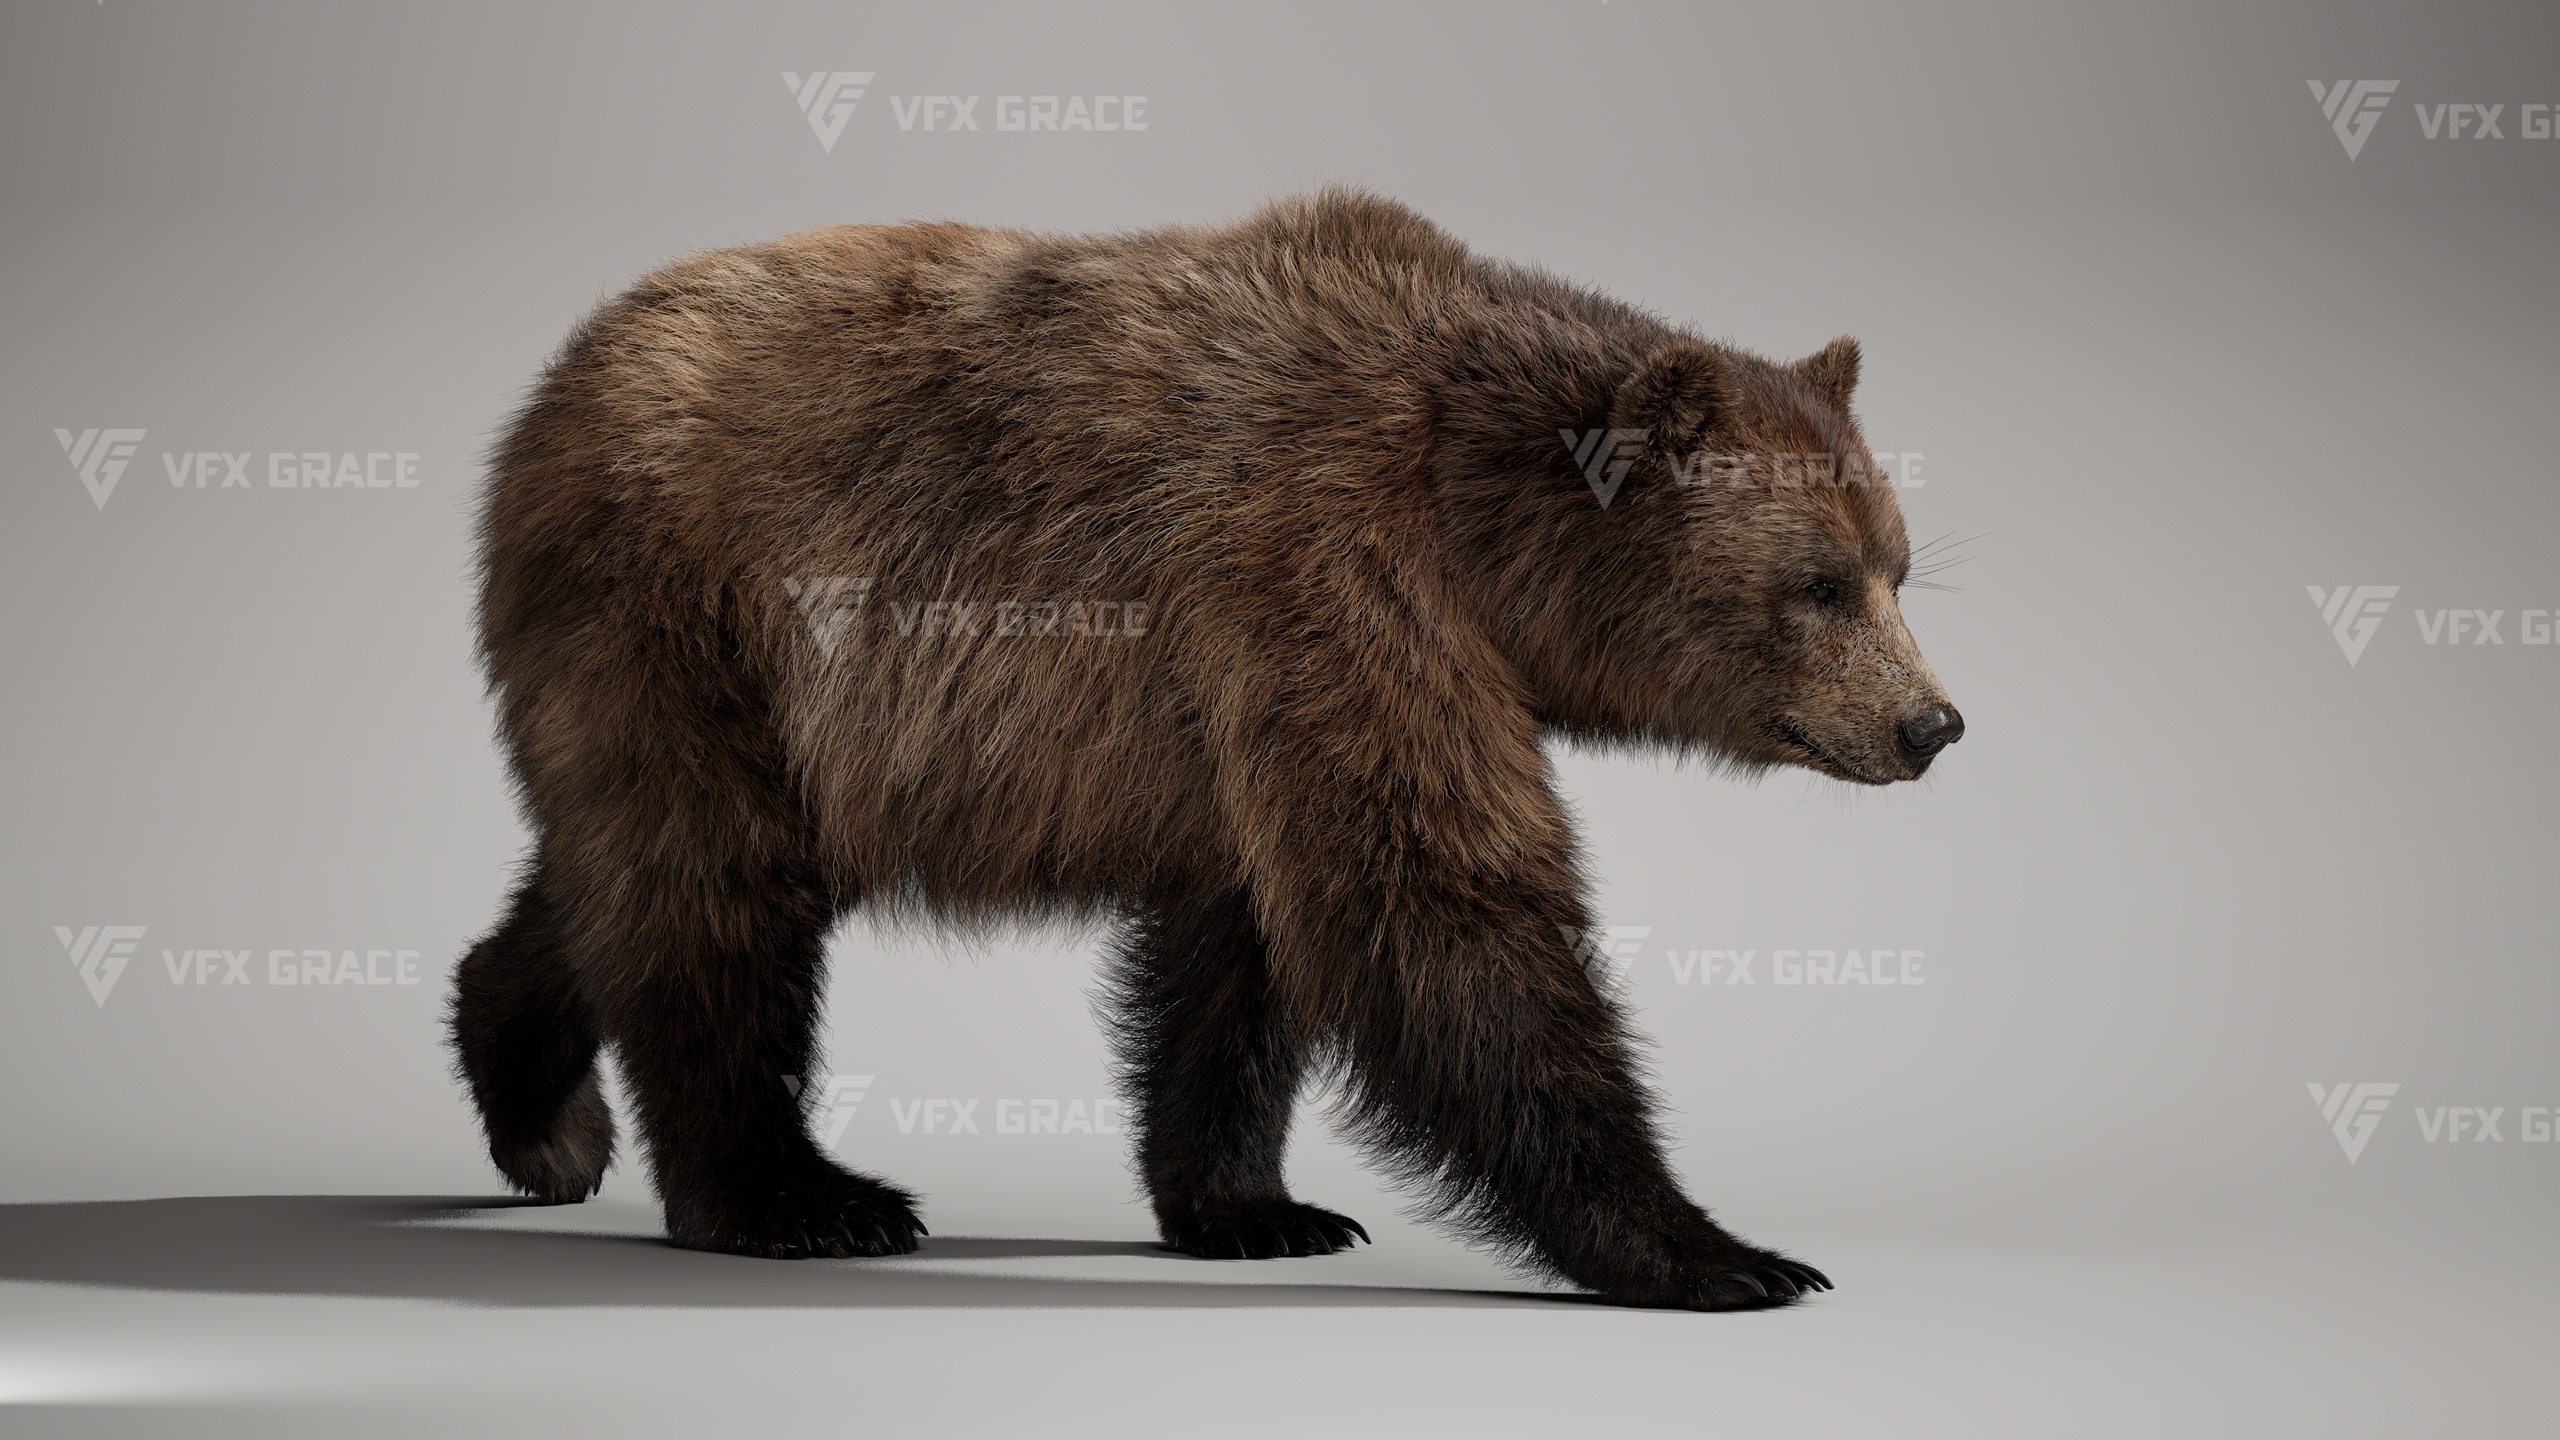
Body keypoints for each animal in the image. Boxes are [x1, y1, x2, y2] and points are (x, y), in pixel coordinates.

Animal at [447, 188, 1962, 1310]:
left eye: (1900, 569)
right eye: (1821, 585)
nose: (1934, 724)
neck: (1476, 525)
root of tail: (562, 377)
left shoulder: (1238, 704)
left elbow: (1249, 946)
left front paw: (1254, 1205)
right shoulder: (1322, 568)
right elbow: (1439, 906)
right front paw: (1719, 1250)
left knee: (618, 873)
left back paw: (538, 1110)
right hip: (699, 600)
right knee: (709, 885)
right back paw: (797, 1197)